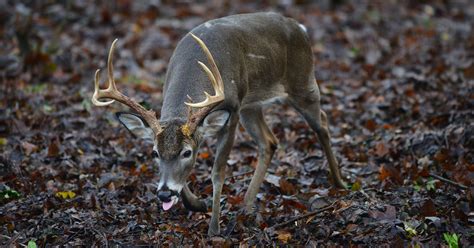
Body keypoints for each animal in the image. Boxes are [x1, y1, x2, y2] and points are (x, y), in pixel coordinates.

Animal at [90, 12, 346, 236]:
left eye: (187, 152)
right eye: (154, 153)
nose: (163, 194)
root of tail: (300, 27)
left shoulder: (231, 113)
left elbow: (217, 172)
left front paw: (214, 228)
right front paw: (198, 204)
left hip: (302, 83)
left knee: (322, 123)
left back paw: (340, 182)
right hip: (251, 105)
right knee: (269, 141)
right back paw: (246, 205)